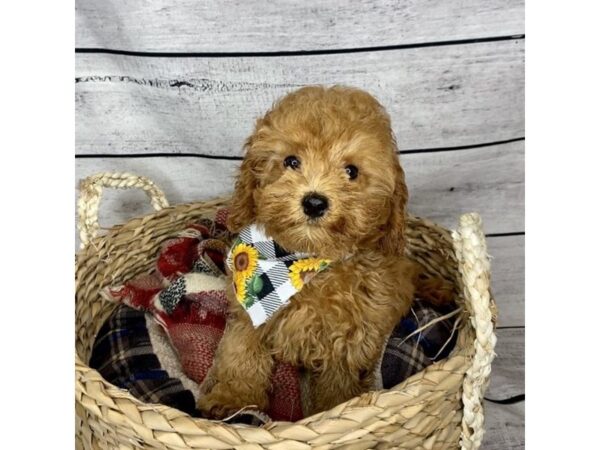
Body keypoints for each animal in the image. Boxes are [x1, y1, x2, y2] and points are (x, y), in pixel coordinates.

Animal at [199, 85, 438, 418]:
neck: (304, 262)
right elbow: (241, 350)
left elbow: (337, 385)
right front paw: (233, 398)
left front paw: (333, 410)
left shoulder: (348, 339)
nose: (314, 202)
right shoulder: (248, 311)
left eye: (351, 171)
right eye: (291, 161)